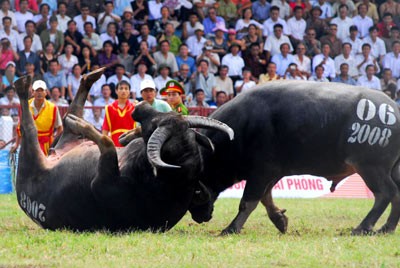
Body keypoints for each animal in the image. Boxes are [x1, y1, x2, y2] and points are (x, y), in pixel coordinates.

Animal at [14, 69, 234, 232]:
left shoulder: (102, 183)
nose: (140, 106)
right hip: (67, 140)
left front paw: (87, 126)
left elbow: (107, 143)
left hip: (30, 161)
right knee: (70, 120)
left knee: (28, 127)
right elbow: (115, 142)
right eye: (162, 116)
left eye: (154, 124)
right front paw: (127, 135)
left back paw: (24, 86)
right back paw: (89, 80)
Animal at [190, 80, 400, 236]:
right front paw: (280, 220)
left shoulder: (261, 171)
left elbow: (248, 202)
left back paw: (363, 227)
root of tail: (394, 110)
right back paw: (387, 228)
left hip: (370, 167)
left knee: (385, 193)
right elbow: (266, 198)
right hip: (391, 169)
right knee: (396, 193)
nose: (198, 217)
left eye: (196, 190)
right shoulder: (273, 172)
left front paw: (231, 228)